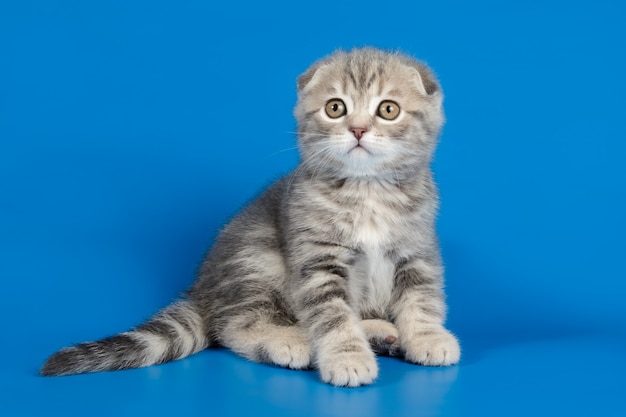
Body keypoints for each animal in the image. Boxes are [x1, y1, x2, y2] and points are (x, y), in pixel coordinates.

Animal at [40, 47, 458, 386]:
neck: (367, 190)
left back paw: (377, 330)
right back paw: (291, 341)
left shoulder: (417, 249)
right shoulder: (315, 259)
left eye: (388, 109)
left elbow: (421, 299)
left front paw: (427, 337)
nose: (357, 129)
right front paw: (346, 357)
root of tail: (202, 292)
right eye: (335, 107)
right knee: (234, 325)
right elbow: (331, 315)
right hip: (257, 253)